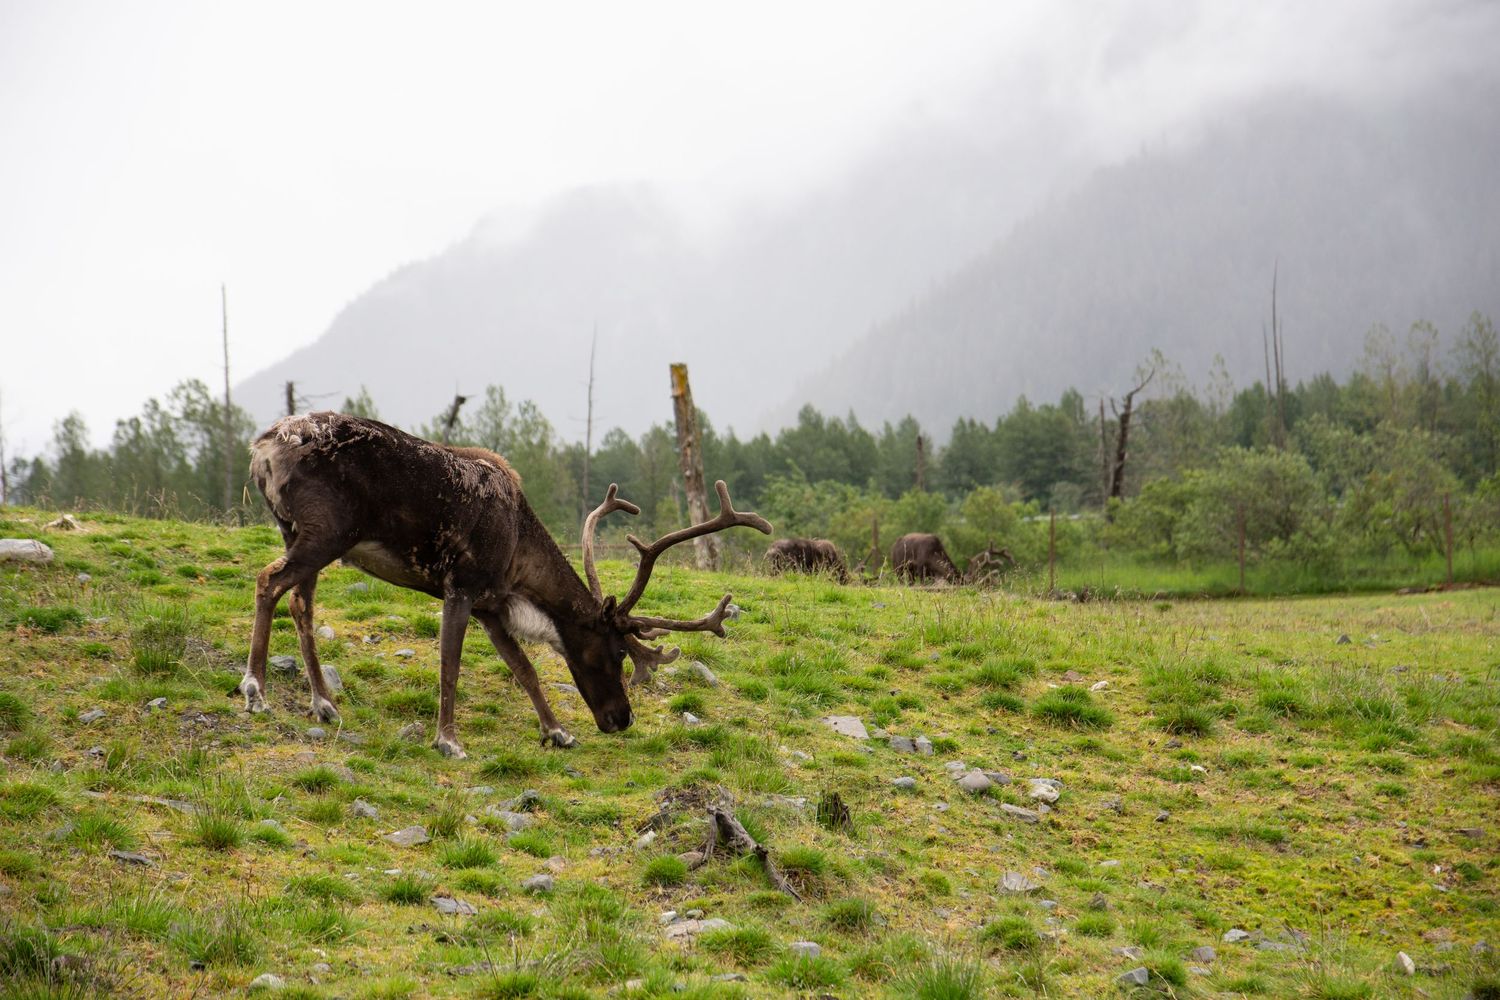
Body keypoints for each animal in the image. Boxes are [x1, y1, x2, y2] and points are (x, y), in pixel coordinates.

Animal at [241, 412, 771, 759]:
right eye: (619, 651)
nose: (623, 719)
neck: (517, 556)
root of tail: (263, 447)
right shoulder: (462, 586)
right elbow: (450, 665)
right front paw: (448, 740)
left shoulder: (491, 607)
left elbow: (525, 669)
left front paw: (557, 731)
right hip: (325, 532)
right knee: (269, 581)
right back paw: (255, 690)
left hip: (299, 533)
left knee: (300, 605)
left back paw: (324, 704)